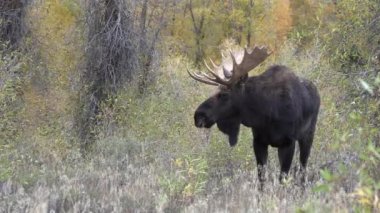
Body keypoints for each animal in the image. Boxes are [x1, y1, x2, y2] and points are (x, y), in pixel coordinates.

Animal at [189, 46, 320, 183]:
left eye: (224, 94)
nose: (198, 115)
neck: (265, 113)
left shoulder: (288, 142)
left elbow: (282, 178)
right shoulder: (258, 141)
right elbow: (261, 178)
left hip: (308, 135)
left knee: (303, 168)